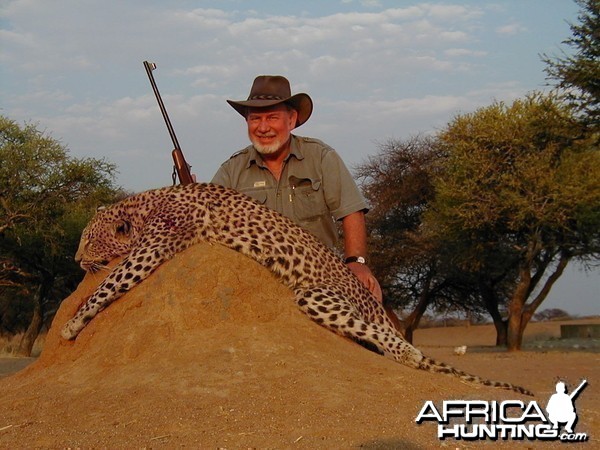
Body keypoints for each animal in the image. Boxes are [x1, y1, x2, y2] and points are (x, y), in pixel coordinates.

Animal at [61, 181, 532, 396]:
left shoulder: (155, 246)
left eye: (88, 239)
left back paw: (407, 353)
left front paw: (72, 322)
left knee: (388, 340)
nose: (76, 260)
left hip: (317, 295)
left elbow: (112, 282)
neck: (144, 203)